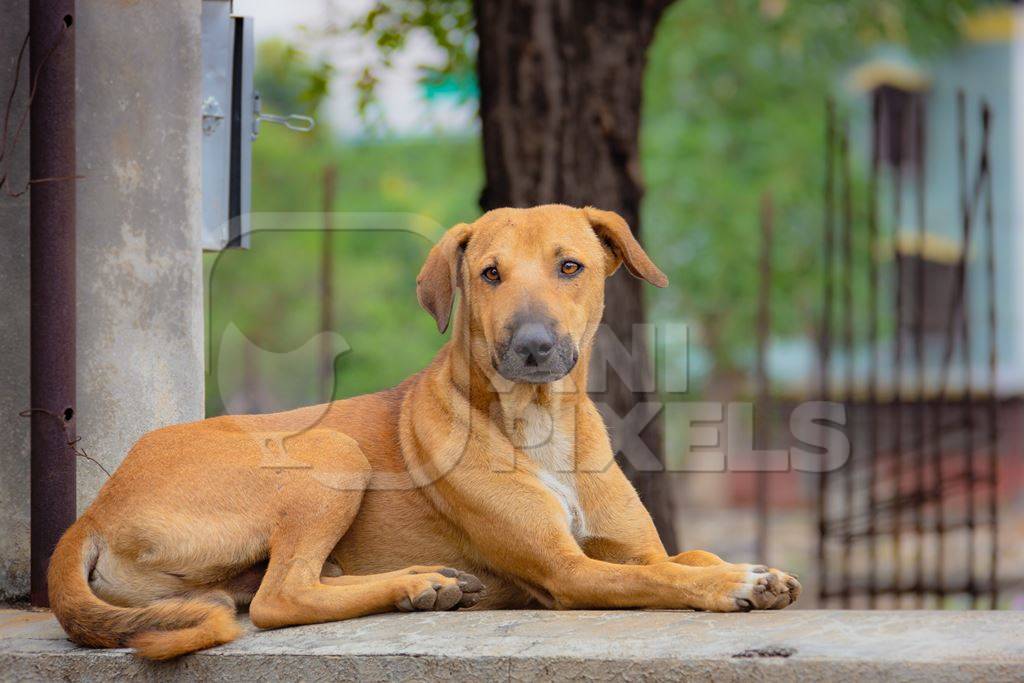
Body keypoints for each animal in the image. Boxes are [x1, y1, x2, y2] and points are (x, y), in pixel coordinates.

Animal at [48, 205, 798, 659]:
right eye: (489, 273)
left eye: (571, 266)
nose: (531, 346)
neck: (538, 421)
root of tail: (95, 508)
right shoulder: (568, 571)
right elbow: (665, 578)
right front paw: (735, 582)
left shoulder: (633, 547)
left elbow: (681, 556)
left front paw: (742, 567)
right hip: (329, 449)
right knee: (280, 598)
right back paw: (412, 585)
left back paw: (421, 583)